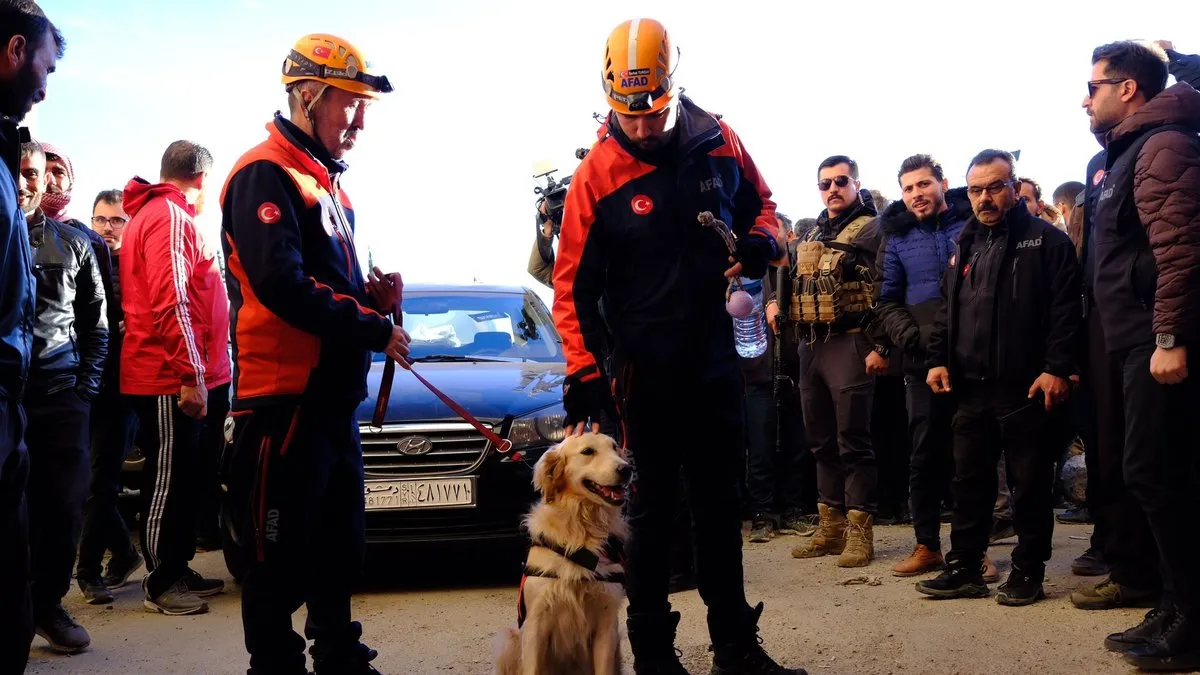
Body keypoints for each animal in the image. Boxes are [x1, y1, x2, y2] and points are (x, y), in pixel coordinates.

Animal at [492, 429, 633, 672]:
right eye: (588, 451)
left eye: (615, 447)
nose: (626, 469)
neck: (582, 526)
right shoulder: (535, 624)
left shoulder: (606, 624)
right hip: (509, 641)